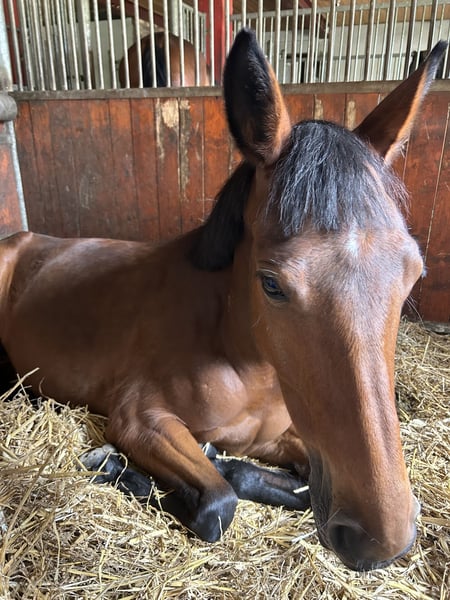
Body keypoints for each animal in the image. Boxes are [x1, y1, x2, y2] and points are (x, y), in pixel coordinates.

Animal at [0, 29, 446, 572]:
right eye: (271, 283)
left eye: (412, 274)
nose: (382, 538)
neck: (238, 358)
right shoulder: (140, 419)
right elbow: (218, 502)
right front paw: (112, 465)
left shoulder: (292, 442)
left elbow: (283, 482)